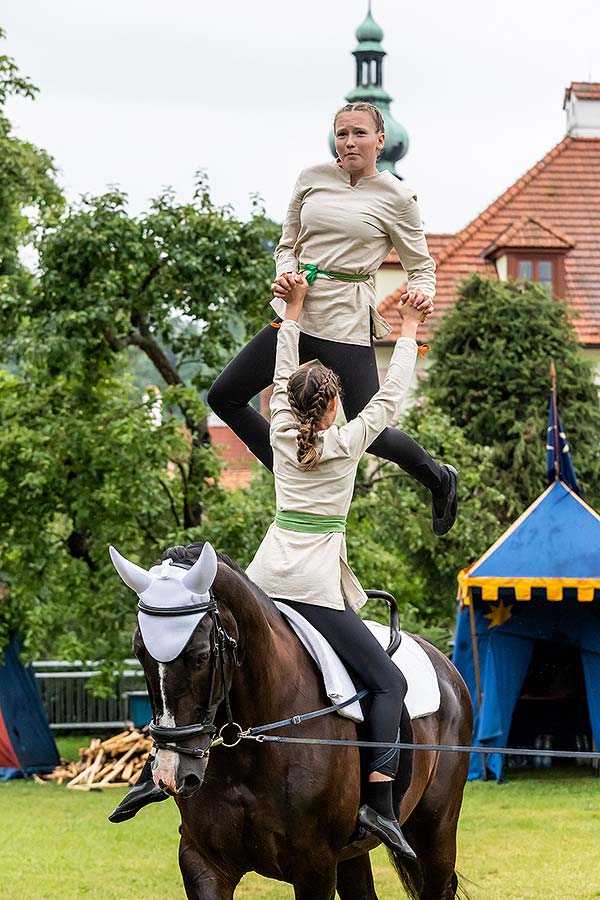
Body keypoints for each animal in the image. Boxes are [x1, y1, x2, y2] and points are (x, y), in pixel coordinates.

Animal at [110, 540, 472, 900]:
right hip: (352, 855)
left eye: (199, 657)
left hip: (435, 833)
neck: (250, 747)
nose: (170, 775)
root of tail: (445, 665)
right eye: (139, 652)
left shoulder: (315, 866)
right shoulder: (202, 861)